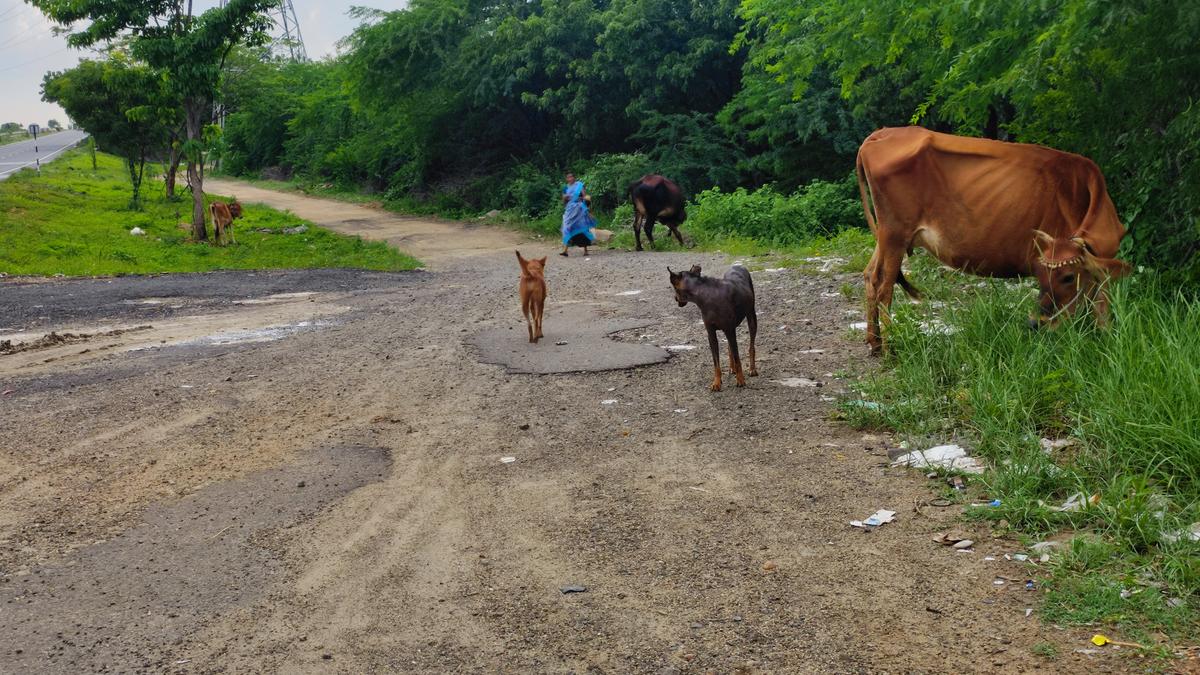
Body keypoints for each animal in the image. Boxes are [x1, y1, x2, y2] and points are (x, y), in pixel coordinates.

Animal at [859, 127, 1128, 355]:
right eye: (1042, 275)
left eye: (1068, 277)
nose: (1035, 323)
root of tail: (880, 134)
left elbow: (1100, 307)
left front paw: (1106, 340)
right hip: (894, 234)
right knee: (884, 288)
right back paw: (890, 349)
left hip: (887, 235)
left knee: (870, 275)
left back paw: (875, 342)